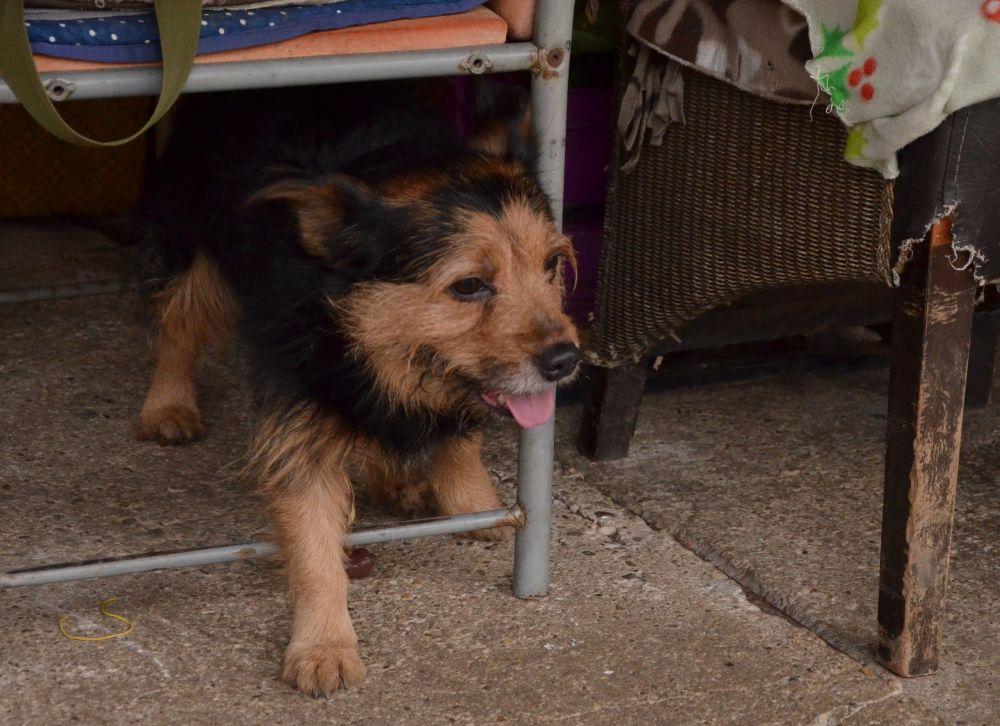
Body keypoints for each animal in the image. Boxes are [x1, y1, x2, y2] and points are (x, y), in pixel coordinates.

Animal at [134, 83, 580, 697]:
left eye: (553, 263)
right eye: (469, 285)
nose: (566, 360)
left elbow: (457, 431)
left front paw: (472, 503)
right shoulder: (297, 416)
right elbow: (314, 544)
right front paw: (324, 645)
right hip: (188, 232)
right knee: (178, 318)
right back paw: (169, 404)